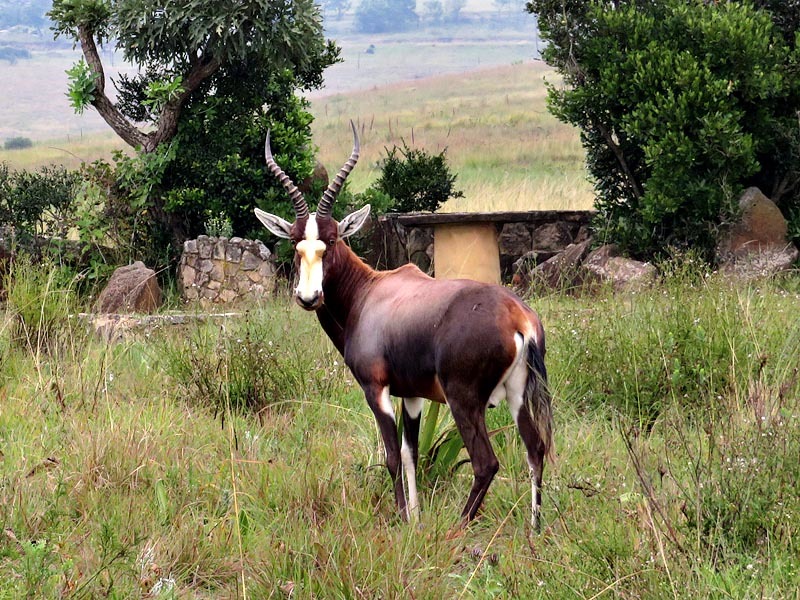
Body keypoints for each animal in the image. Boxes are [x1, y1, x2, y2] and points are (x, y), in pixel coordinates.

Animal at [253, 124, 552, 528]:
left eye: (331, 240)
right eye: (296, 243)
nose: (309, 296)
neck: (370, 292)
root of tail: (517, 315)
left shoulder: (376, 389)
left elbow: (393, 457)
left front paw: (400, 518)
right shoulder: (412, 395)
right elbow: (412, 455)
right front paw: (416, 517)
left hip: (463, 399)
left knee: (486, 463)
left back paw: (459, 528)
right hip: (518, 394)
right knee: (535, 449)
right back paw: (535, 529)